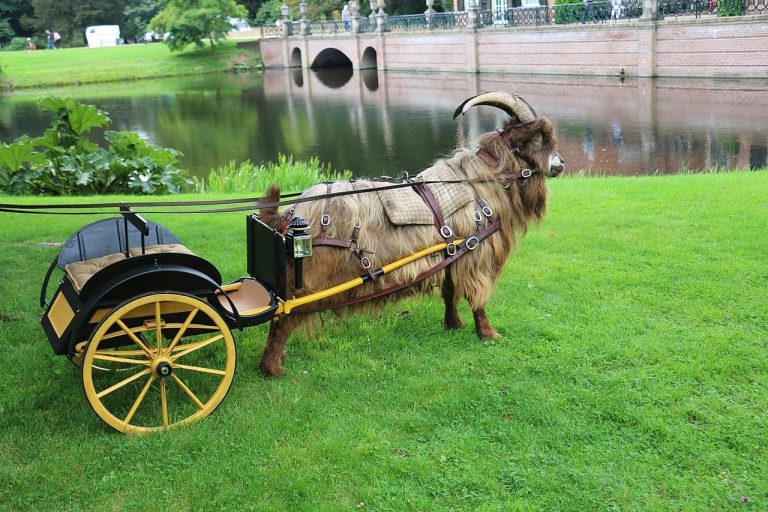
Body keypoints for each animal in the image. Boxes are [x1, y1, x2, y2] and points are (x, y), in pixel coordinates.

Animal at [258, 92, 565, 376]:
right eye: (540, 139)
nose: (560, 164)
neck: (481, 181)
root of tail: (292, 213)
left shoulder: (451, 253)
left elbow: (450, 292)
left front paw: (454, 324)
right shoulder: (476, 254)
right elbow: (477, 298)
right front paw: (488, 333)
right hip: (308, 278)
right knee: (283, 316)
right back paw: (272, 367)